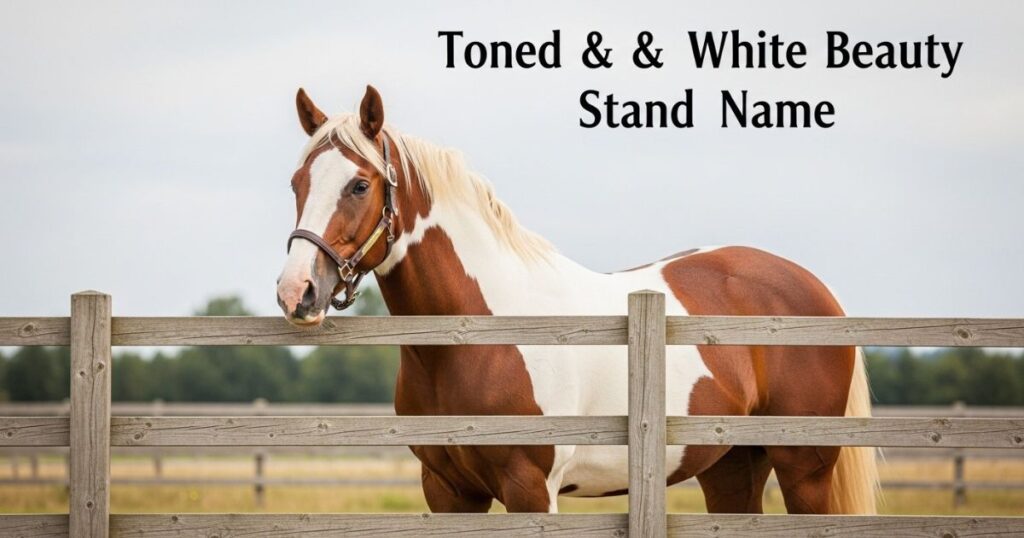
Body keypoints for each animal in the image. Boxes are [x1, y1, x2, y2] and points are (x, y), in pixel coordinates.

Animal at [276, 85, 879, 515]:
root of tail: (815, 288)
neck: (479, 336)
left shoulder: (529, 488)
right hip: (731, 468)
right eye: (296, 183)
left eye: (359, 185)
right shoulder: (447, 490)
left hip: (804, 472)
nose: (296, 291)